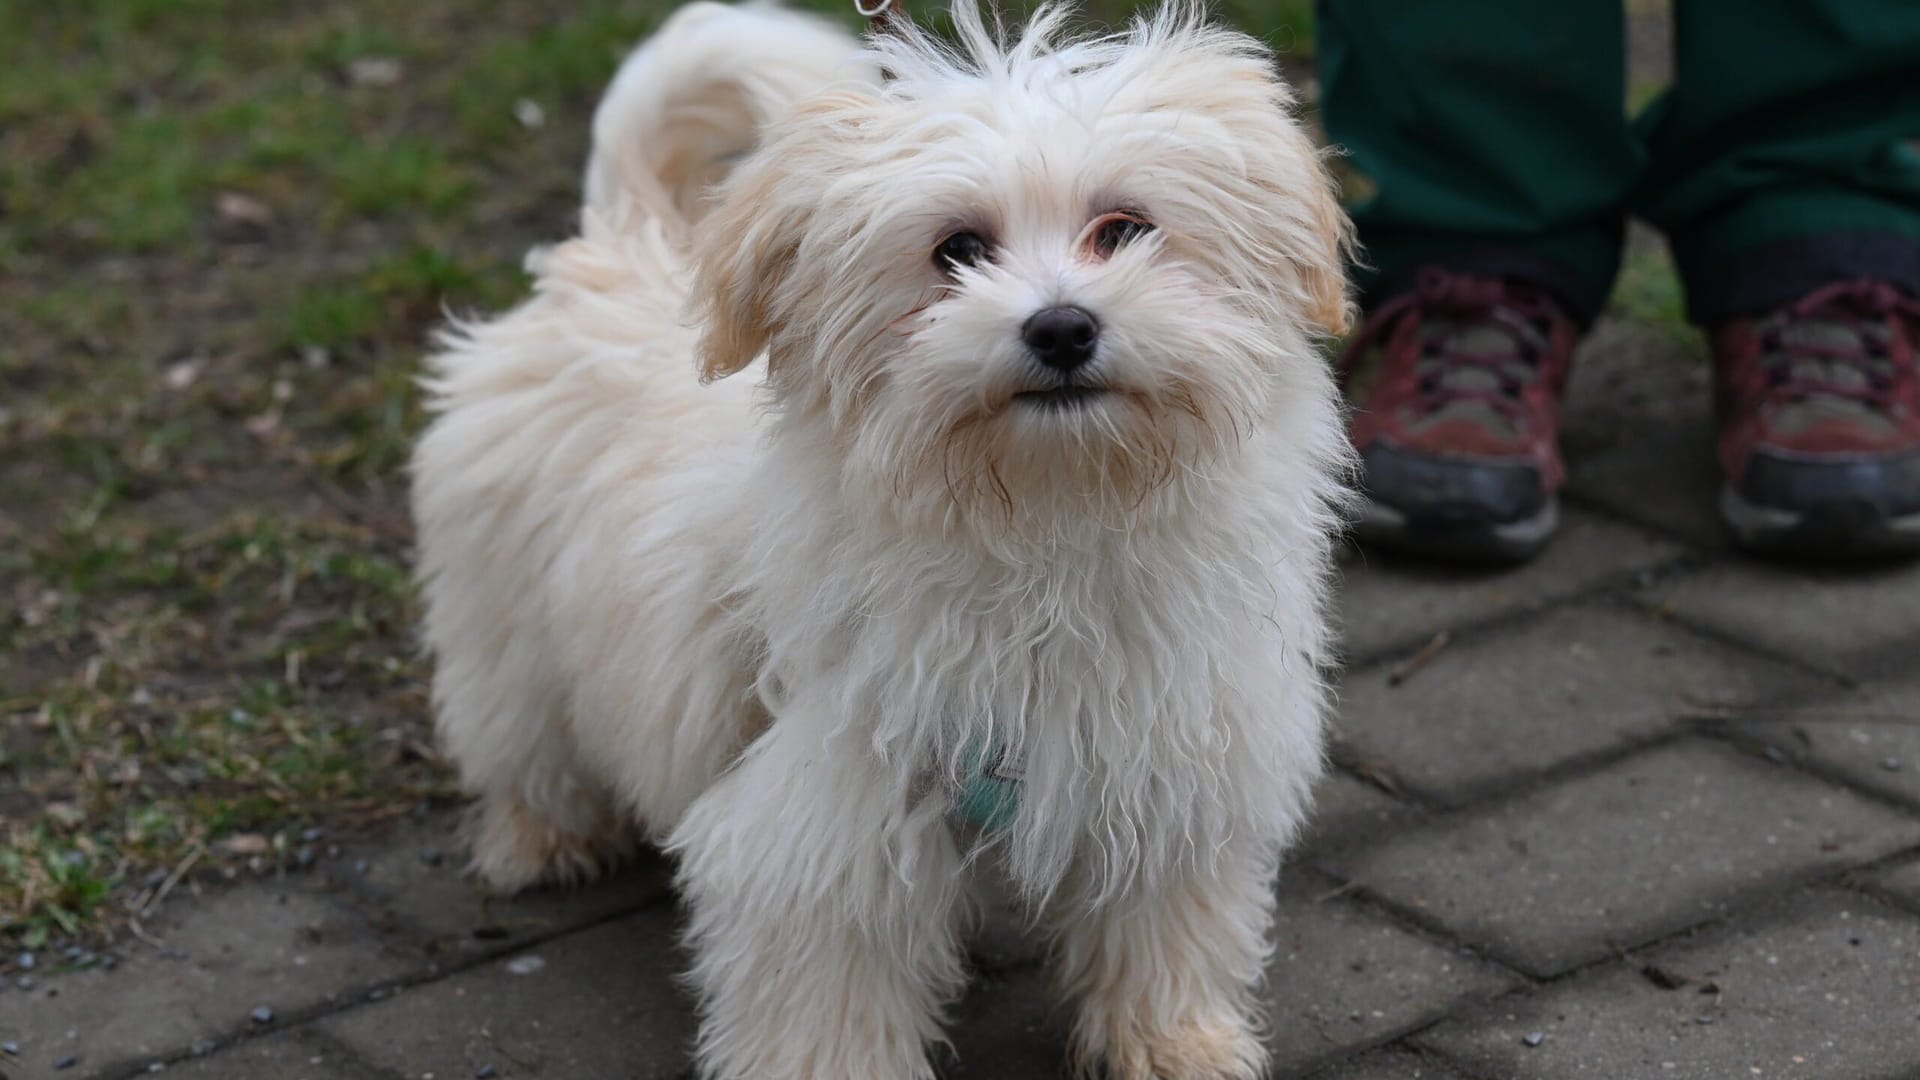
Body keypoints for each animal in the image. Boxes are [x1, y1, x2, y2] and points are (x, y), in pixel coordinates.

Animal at [414, 4, 1359, 1068]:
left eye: (1124, 229)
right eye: (957, 250)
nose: (1062, 328)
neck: (1048, 518)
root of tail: (623, 240)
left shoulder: (1169, 756)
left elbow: (1165, 922)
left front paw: (1178, 1045)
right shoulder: (828, 806)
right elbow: (828, 981)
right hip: (506, 618)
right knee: (521, 733)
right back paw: (539, 839)